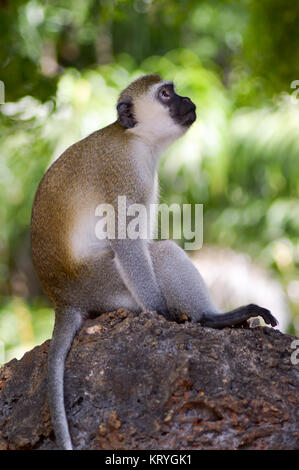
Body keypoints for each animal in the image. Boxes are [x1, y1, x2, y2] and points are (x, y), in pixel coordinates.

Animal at [31, 72, 278, 448]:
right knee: (160, 255)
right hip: (103, 284)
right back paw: (211, 319)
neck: (136, 138)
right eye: (165, 95)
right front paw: (163, 314)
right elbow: (129, 242)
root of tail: (62, 298)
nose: (186, 99)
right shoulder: (125, 172)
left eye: (174, 90)